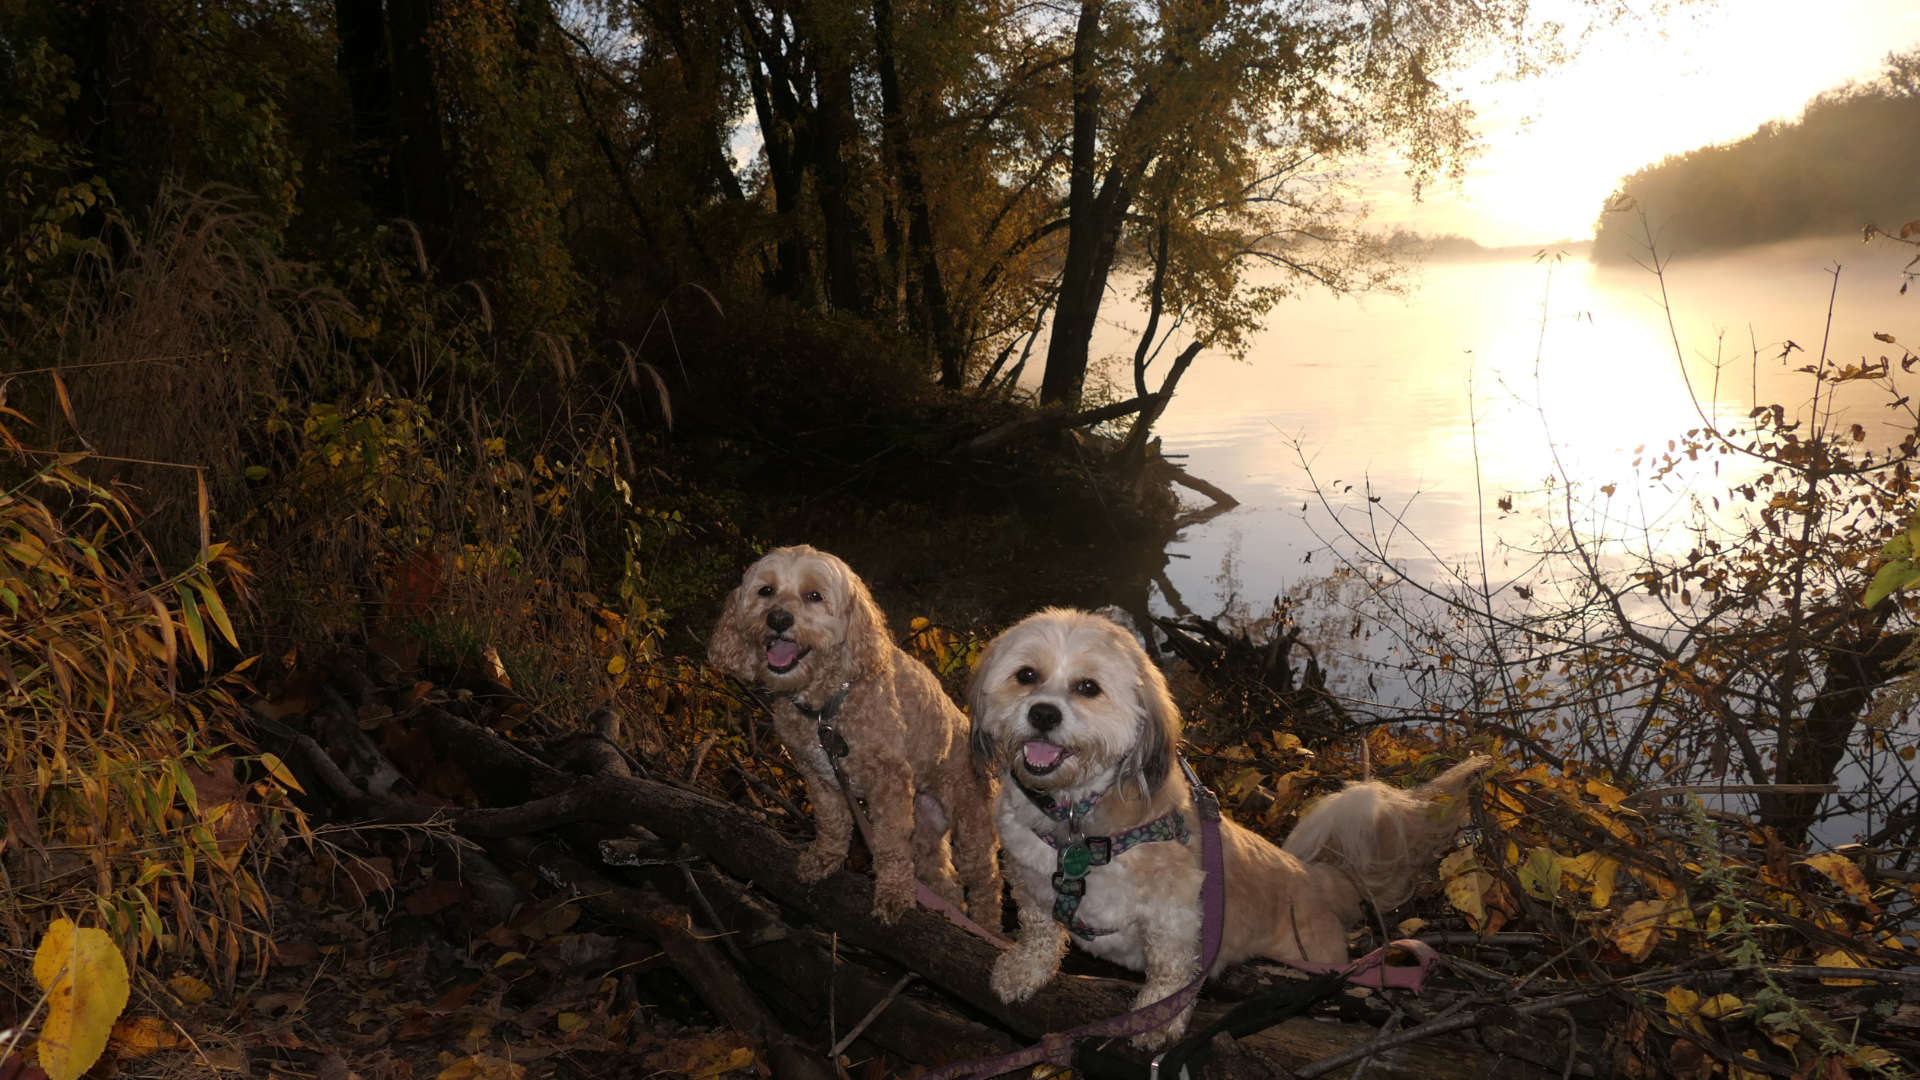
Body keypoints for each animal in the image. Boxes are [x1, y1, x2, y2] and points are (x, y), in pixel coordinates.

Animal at [710, 541, 1006, 922]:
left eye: (814, 595)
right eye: (766, 591)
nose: (777, 619)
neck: (826, 706)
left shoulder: (889, 783)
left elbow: (890, 843)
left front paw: (893, 894)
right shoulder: (818, 775)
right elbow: (833, 822)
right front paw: (824, 860)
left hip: (971, 826)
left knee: (987, 886)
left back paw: (986, 927)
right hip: (927, 828)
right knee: (946, 882)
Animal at [975, 607, 1482, 1045]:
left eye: (1088, 687)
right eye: (1026, 675)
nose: (1043, 713)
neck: (1077, 821)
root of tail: (1321, 877)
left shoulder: (1176, 914)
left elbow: (1170, 972)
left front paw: (1157, 1019)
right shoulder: (1029, 882)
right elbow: (1039, 932)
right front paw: (1024, 970)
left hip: (1315, 954)